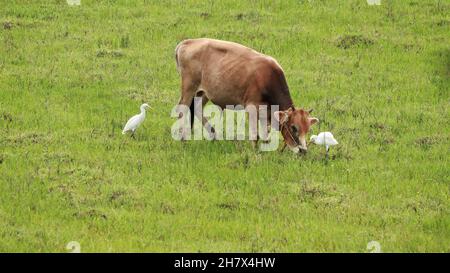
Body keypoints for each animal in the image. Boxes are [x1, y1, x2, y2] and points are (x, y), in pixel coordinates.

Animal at [174, 38, 318, 152]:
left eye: (307, 129)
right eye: (293, 127)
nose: (303, 151)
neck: (268, 78)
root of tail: (188, 42)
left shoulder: (265, 113)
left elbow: (265, 133)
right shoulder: (252, 107)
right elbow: (255, 135)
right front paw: (255, 152)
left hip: (204, 92)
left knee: (198, 109)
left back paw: (214, 135)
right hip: (189, 87)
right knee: (182, 109)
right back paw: (183, 140)